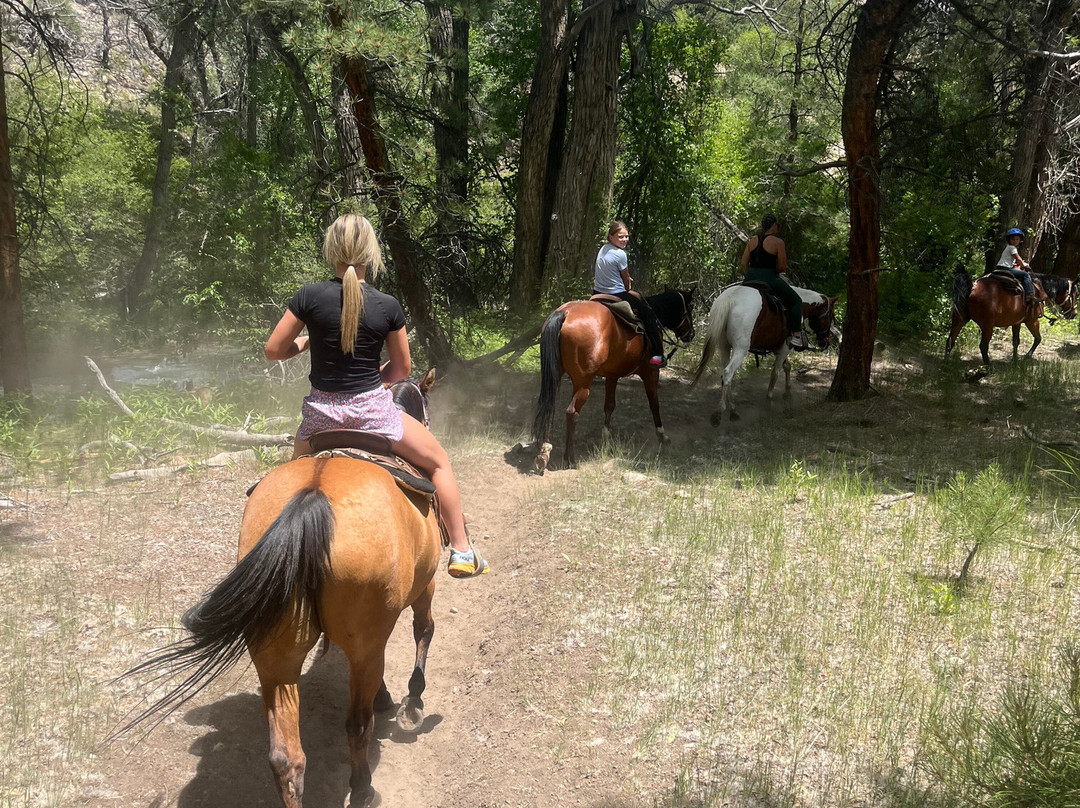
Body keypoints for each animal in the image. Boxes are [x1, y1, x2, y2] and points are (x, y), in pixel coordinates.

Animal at [119, 373, 442, 808]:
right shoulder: (425, 585)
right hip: (353, 640)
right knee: (357, 725)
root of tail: (310, 499)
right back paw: (363, 789)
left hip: (276, 653)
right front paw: (413, 701)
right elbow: (423, 631)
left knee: (285, 757)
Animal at [531, 288, 696, 473]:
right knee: (572, 413)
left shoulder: (612, 375)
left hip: (556, 376)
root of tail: (565, 313)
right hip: (583, 382)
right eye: (690, 307)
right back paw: (570, 458)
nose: (691, 334)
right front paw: (662, 436)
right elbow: (654, 403)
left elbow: (609, 405)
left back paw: (544, 453)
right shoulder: (650, 372)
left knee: (550, 407)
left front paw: (606, 438)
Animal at [692, 284, 837, 424]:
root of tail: (731, 298)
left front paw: (787, 393)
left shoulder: (778, 347)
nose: (826, 341)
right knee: (728, 372)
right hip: (740, 349)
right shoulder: (786, 346)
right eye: (831, 315)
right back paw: (719, 412)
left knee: (724, 374)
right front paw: (769, 400)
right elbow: (775, 373)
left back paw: (733, 410)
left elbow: (787, 366)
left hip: (724, 346)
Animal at [945, 269, 1077, 365]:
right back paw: (988, 367)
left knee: (950, 340)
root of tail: (973, 286)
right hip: (987, 326)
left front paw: (1015, 360)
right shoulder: (1032, 320)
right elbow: (1038, 338)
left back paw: (946, 363)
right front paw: (1026, 356)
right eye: (1075, 294)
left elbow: (1016, 341)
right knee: (983, 346)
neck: (1039, 288)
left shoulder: (1016, 322)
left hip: (959, 319)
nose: (1074, 314)